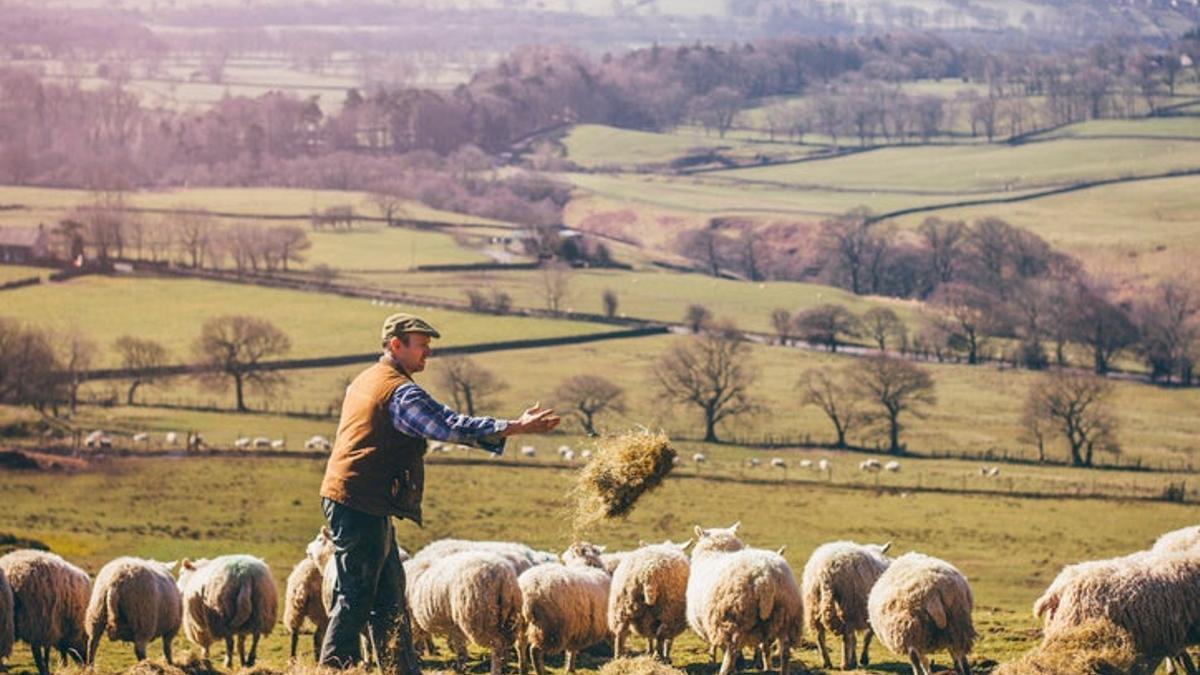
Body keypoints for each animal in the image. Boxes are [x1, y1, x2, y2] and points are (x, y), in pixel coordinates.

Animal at [518, 540, 609, 672]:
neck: (585, 565)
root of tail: (527, 590)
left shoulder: (577, 627)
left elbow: (571, 649)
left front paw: (569, 668)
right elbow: (573, 650)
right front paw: (570, 668)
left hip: (521, 622)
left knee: (520, 646)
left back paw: (523, 668)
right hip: (549, 627)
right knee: (535, 650)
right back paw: (541, 671)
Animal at [691, 523, 801, 672]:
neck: (718, 551)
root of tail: (764, 578)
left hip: (732, 620)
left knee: (731, 654)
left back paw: (725, 670)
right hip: (787, 617)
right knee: (785, 650)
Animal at [801, 535, 897, 667]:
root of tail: (826, 570)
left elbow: (856, 639)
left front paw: (856, 659)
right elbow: (867, 637)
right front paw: (863, 659)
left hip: (813, 603)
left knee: (820, 635)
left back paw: (827, 662)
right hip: (848, 605)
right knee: (846, 636)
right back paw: (845, 664)